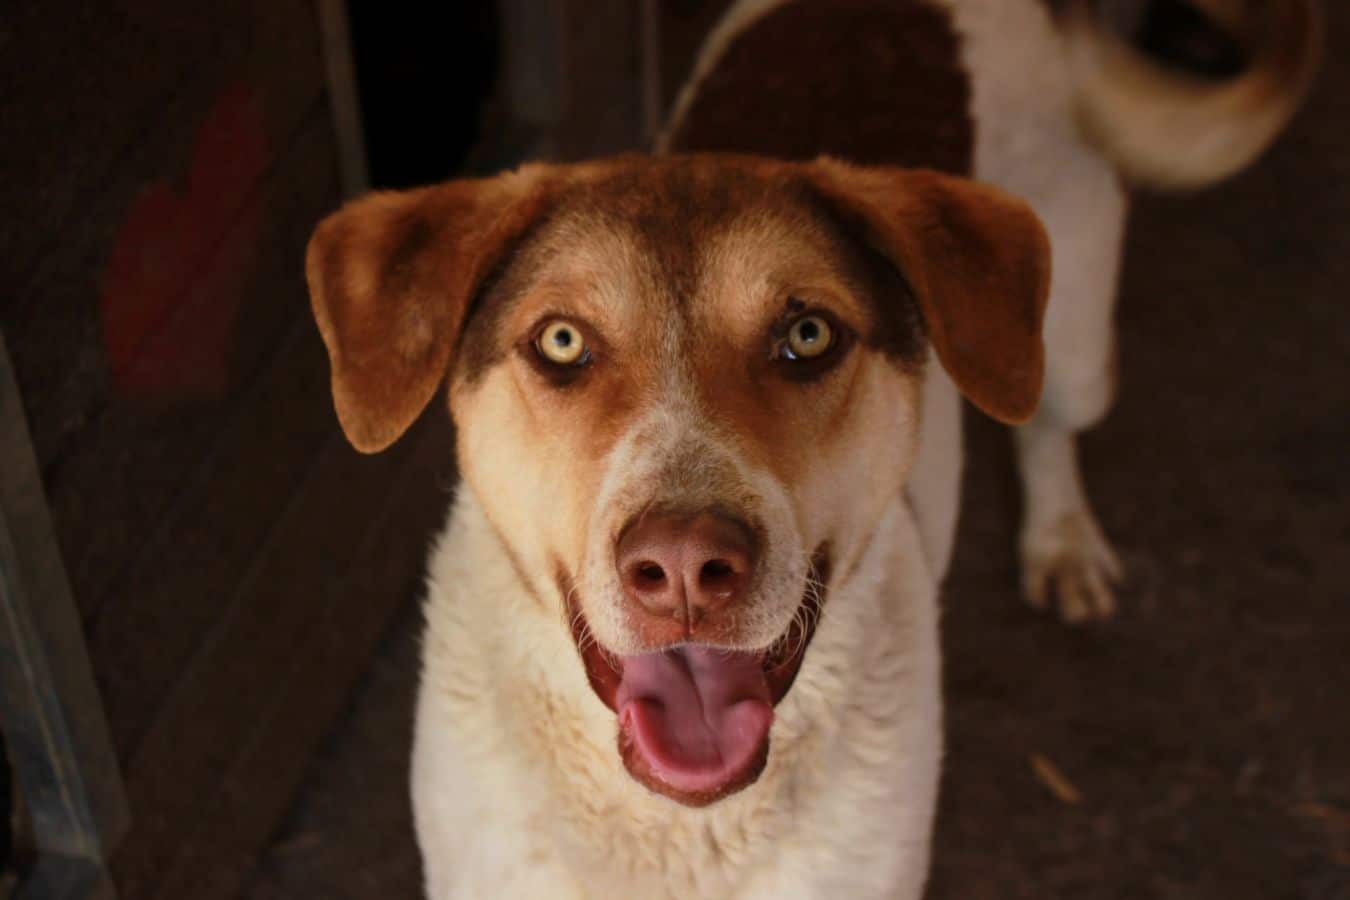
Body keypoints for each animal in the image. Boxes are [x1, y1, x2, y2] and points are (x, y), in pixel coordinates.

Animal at [304, 1, 1318, 896]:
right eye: (560, 342)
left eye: (809, 335)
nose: (684, 566)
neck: (680, 828)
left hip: (1069, 332)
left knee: (1049, 425)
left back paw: (1063, 545)